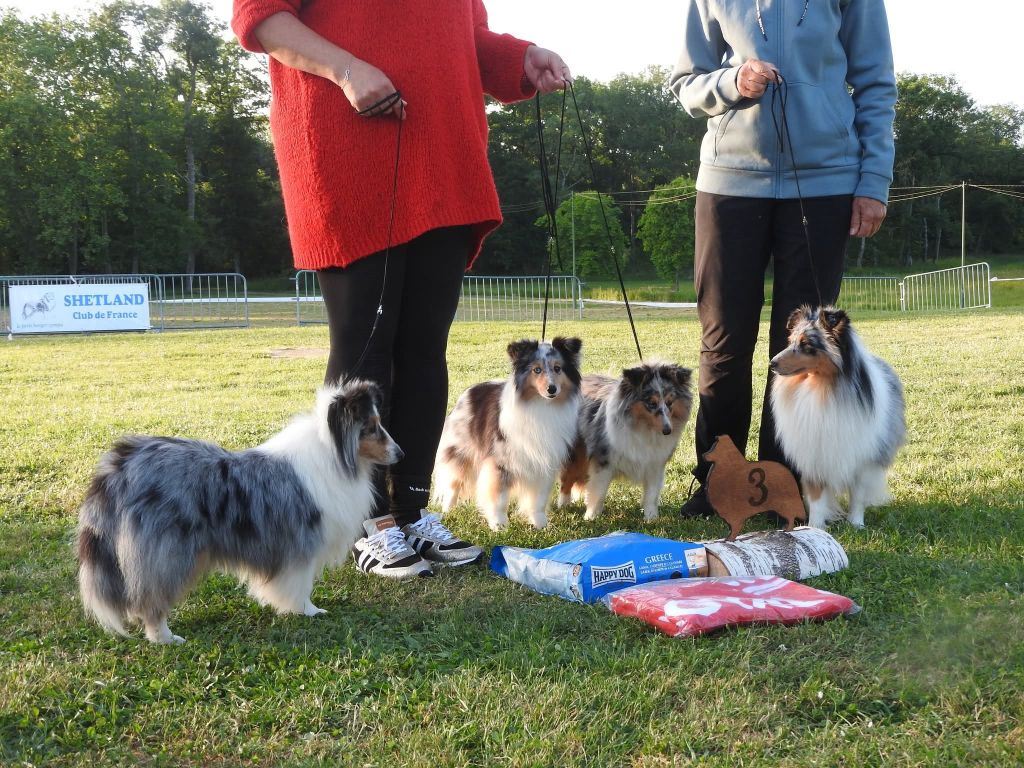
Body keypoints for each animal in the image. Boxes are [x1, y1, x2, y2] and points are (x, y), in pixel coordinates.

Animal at [77, 379, 401, 644]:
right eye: (371, 428)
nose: (401, 453)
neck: (334, 454)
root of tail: (122, 466)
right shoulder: (301, 544)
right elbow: (301, 585)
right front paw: (308, 611)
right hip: (168, 555)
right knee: (151, 599)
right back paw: (164, 637)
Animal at [433, 337, 582, 530]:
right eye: (537, 370)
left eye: (558, 368)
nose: (552, 389)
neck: (541, 405)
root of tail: (468, 392)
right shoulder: (500, 462)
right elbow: (499, 497)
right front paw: (499, 525)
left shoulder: (545, 462)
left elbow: (539, 499)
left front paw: (541, 524)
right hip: (461, 452)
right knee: (453, 482)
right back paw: (448, 510)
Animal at [558, 362, 692, 521]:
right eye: (651, 403)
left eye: (670, 402)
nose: (667, 430)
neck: (643, 427)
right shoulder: (604, 460)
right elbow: (599, 491)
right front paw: (591, 517)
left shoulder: (655, 463)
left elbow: (652, 494)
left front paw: (651, 518)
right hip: (577, 452)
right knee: (567, 477)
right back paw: (563, 504)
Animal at [769, 306, 905, 529]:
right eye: (791, 341)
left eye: (806, 345)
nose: (772, 363)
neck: (822, 388)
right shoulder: (814, 457)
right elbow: (816, 499)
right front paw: (814, 528)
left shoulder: (862, 458)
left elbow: (858, 495)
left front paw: (857, 524)